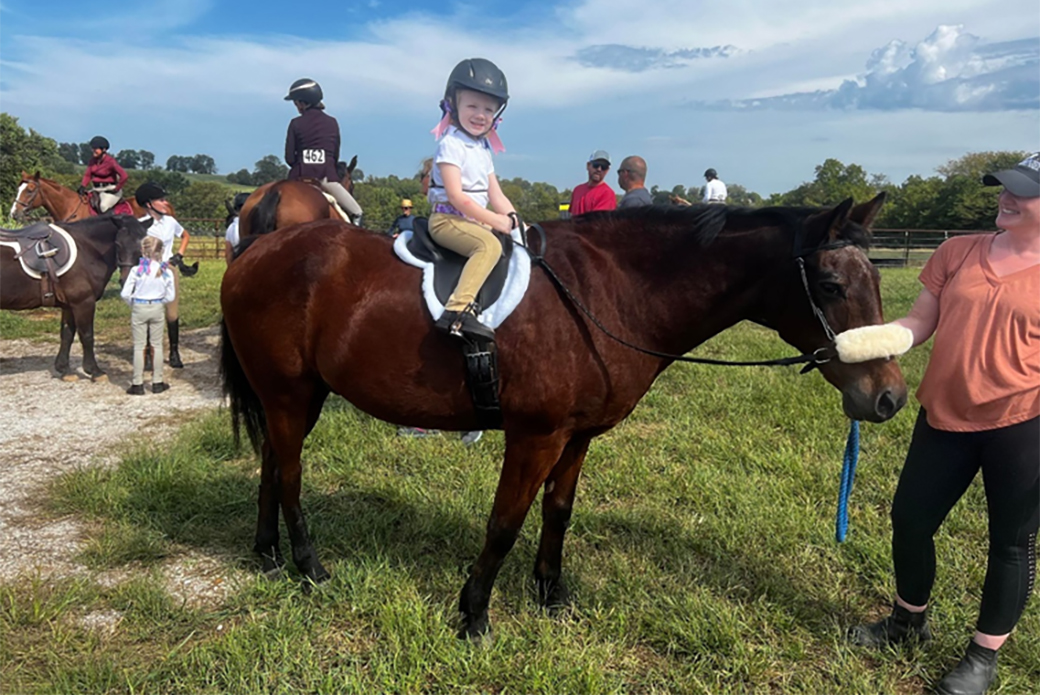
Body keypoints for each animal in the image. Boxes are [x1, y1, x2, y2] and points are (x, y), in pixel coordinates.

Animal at [0, 215, 151, 380]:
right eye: (118, 244)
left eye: (145, 246)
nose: (128, 281)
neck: (86, 249)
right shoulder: (83, 302)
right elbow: (87, 335)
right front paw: (94, 371)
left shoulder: (69, 305)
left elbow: (67, 334)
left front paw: (64, 369)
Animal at [219, 194, 902, 640]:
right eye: (832, 285)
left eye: (874, 280)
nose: (889, 397)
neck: (606, 294)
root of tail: (256, 248)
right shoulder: (535, 436)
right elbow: (504, 522)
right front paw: (474, 615)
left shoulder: (577, 437)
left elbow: (558, 511)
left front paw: (551, 594)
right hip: (290, 394)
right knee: (290, 474)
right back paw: (309, 567)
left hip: (293, 398)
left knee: (272, 464)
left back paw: (268, 554)